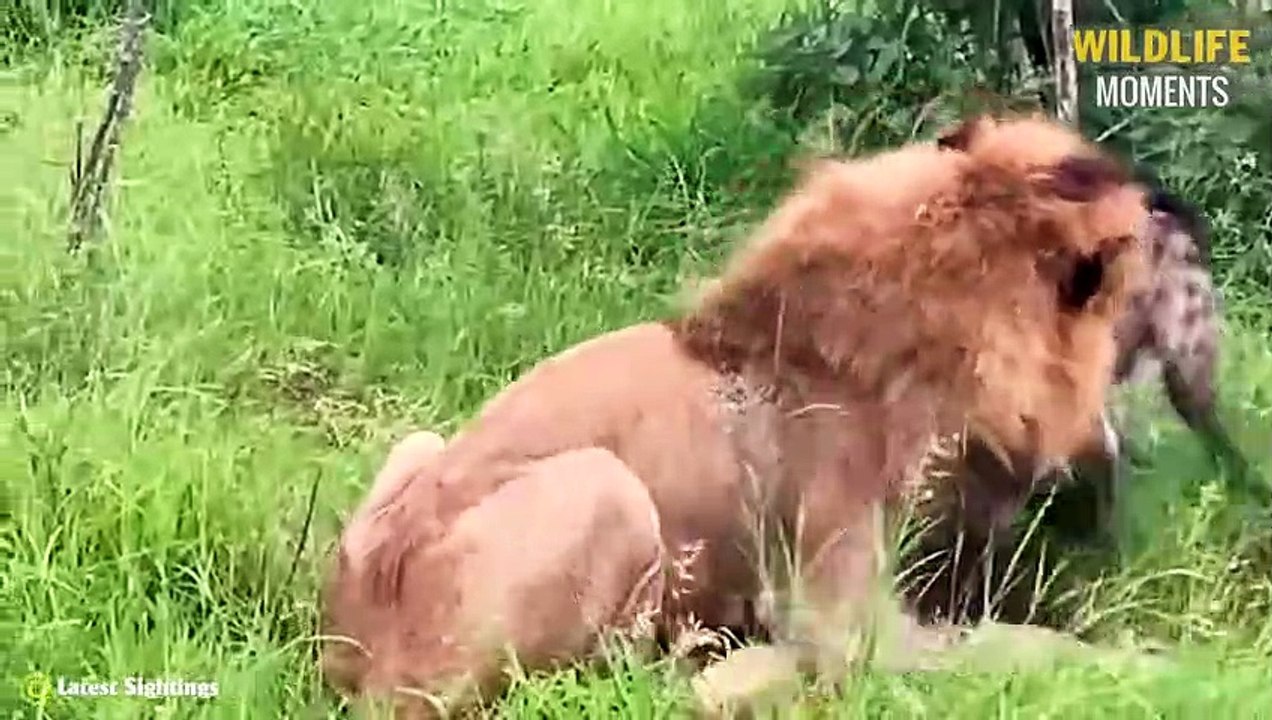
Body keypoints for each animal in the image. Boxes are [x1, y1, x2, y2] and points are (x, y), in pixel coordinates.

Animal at [319, 113, 1151, 717]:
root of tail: (353, 655)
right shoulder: (842, 615)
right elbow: (1005, 645)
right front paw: (1146, 665)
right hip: (607, 491)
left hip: (417, 446)